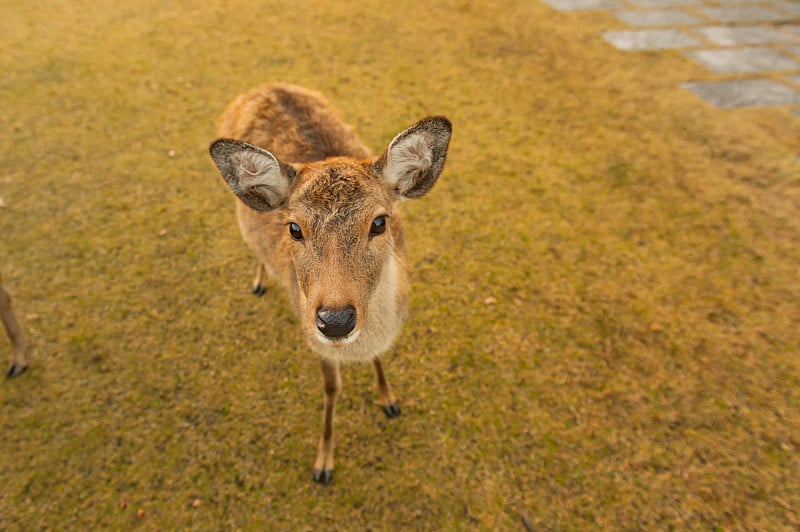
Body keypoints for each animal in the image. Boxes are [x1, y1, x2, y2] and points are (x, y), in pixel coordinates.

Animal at [209, 81, 454, 484]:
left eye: (379, 222)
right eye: (294, 228)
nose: (335, 320)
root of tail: (264, 86)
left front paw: (389, 400)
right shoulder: (316, 342)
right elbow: (331, 389)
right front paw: (323, 463)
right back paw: (260, 280)